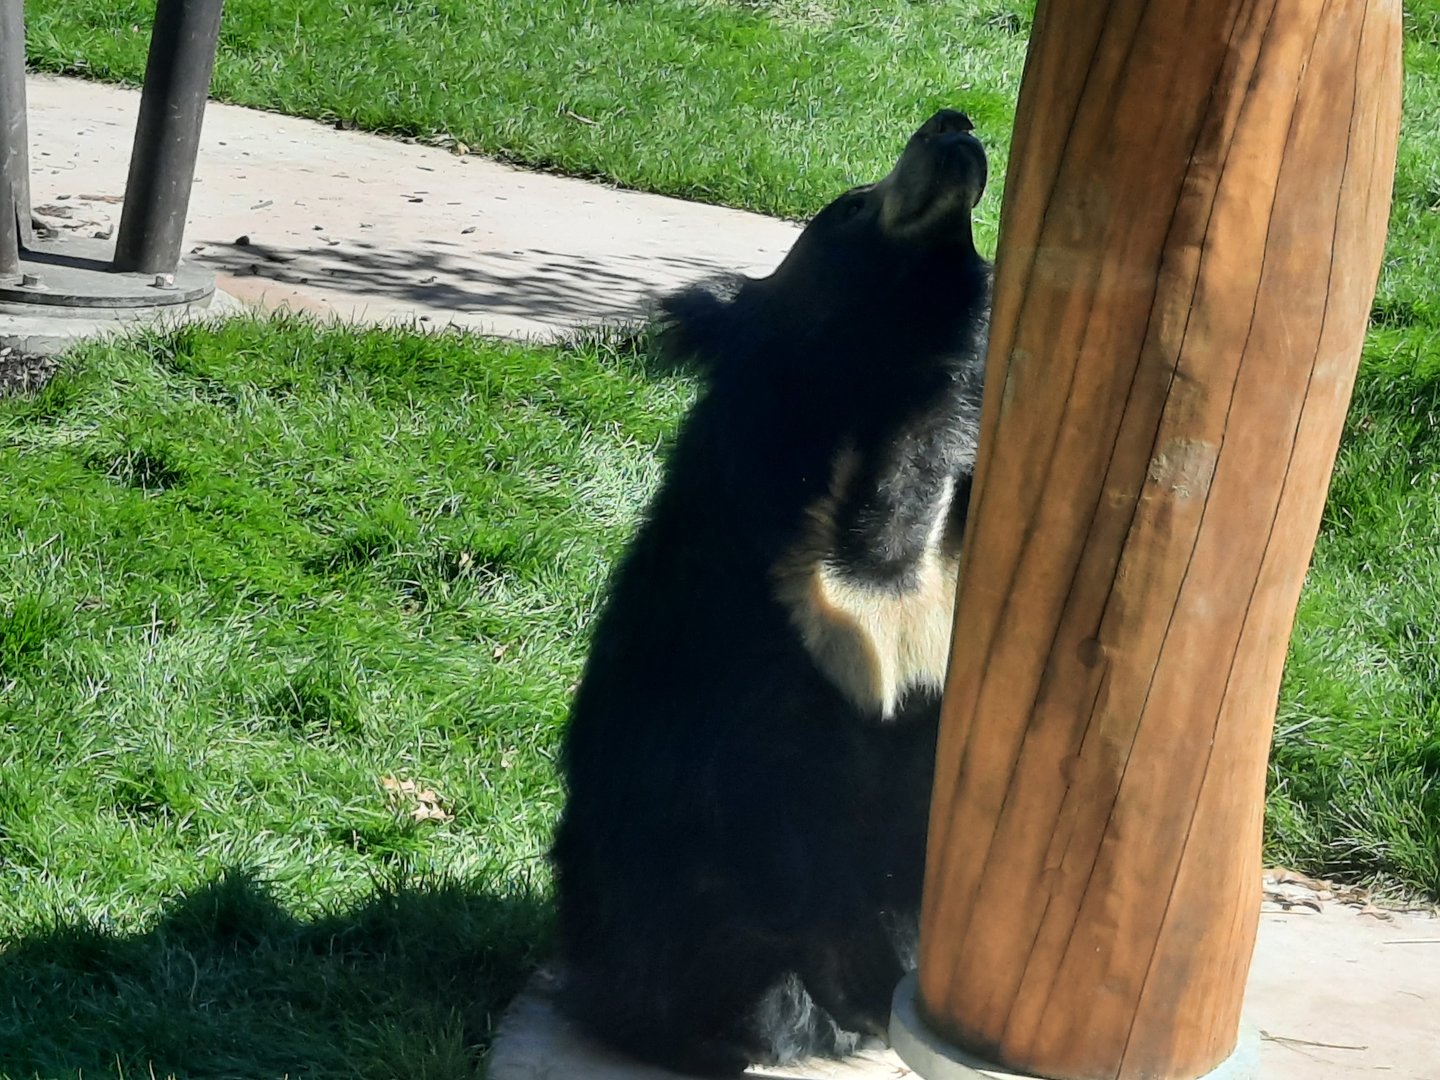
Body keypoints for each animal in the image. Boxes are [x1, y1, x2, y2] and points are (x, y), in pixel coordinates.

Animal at [548, 108, 992, 1077]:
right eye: (852, 206)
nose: (954, 125)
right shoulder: (749, 601)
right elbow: (752, 785)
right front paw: (865, 991)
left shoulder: (947, 611)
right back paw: (725, 1034)